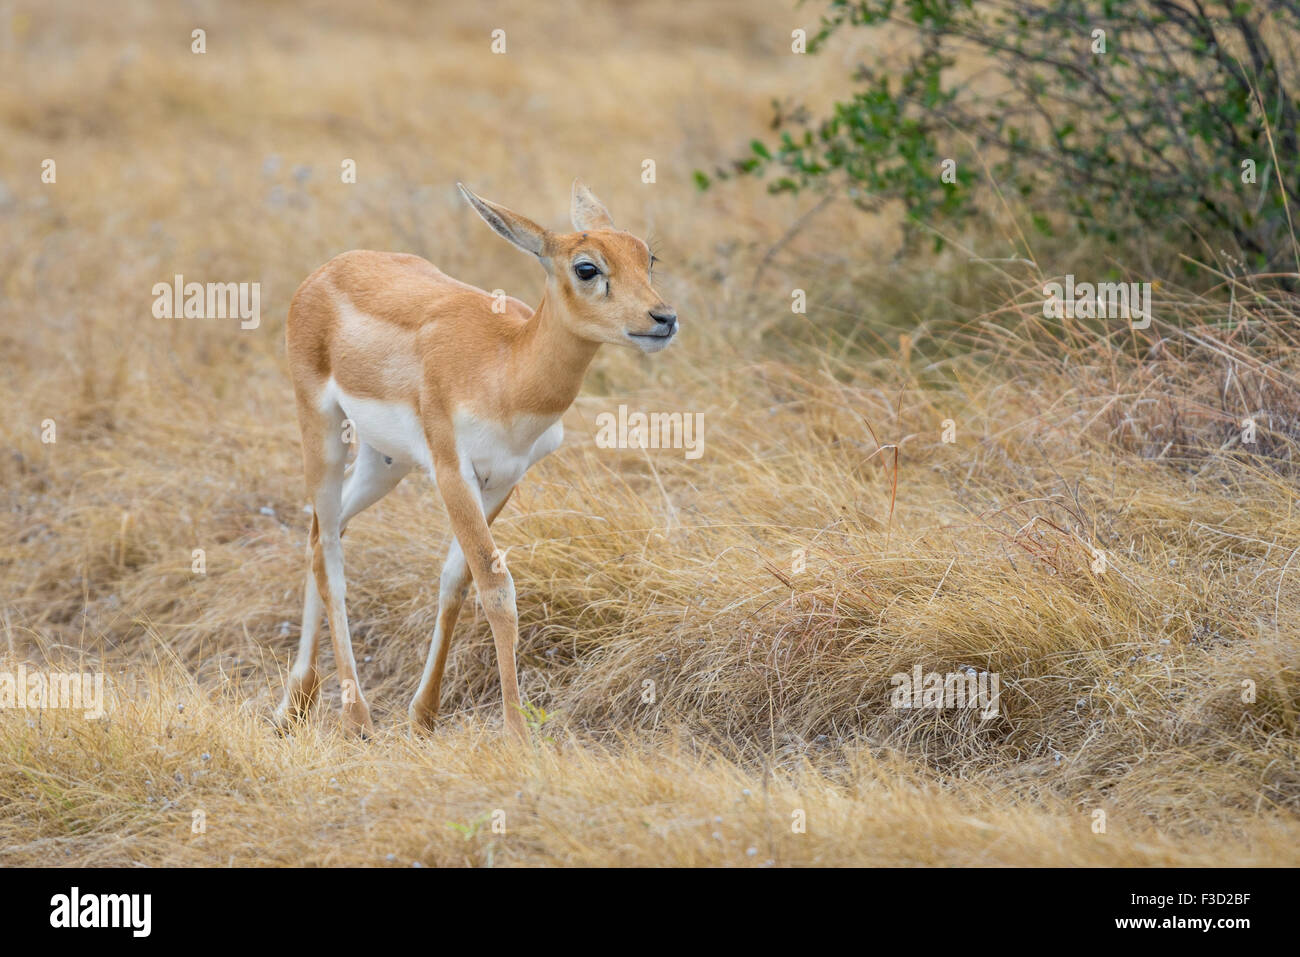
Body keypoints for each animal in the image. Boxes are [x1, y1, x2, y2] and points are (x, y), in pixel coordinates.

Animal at [275, 181, 677, 739]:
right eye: (587, 267)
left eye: (647, 256)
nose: (663, 319)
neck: (506, 370)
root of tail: (327, 270)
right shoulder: (452, 473)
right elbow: (496, 588)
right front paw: (517, 734)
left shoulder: (503, 479)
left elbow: (458, 581)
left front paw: (424, 715)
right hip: (324, 432)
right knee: (329, 552)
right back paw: (356, 717)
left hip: (385, 463)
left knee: (320, 533)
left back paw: (295, 702)